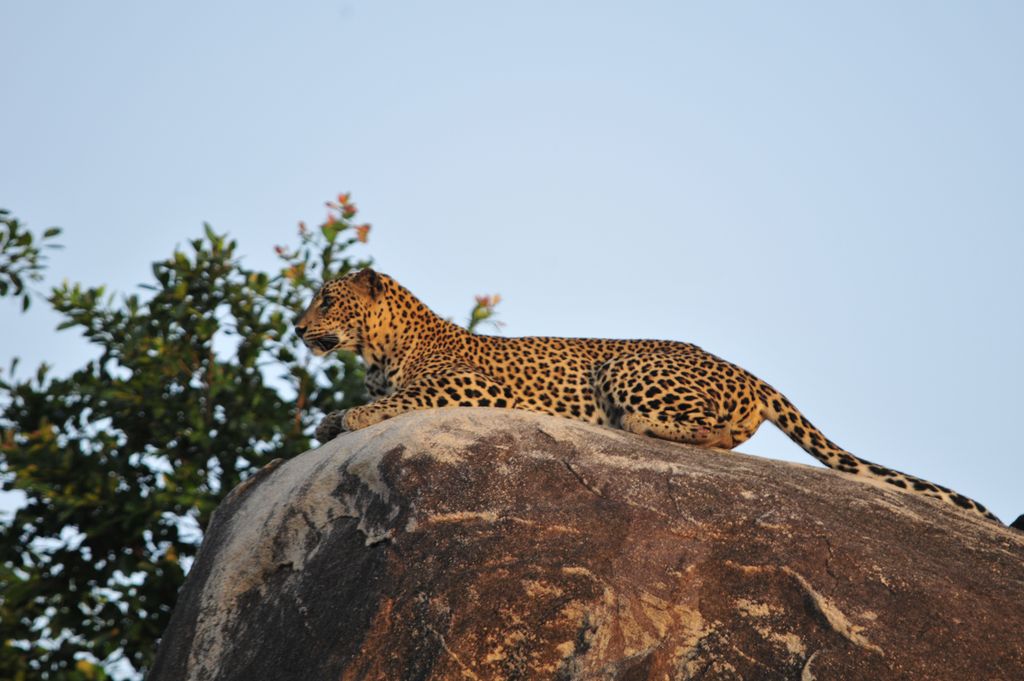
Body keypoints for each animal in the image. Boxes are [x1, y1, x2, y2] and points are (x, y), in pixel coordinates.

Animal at [292, 268, 1003, 522]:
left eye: (326, 298)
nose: (298, 328)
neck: (380, 349)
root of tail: (748, 371)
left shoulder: (475, 384)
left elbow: (404, 400)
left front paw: (350, 416)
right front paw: (334, 419)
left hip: (626, 365)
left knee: (705, 429)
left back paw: (632, 428)